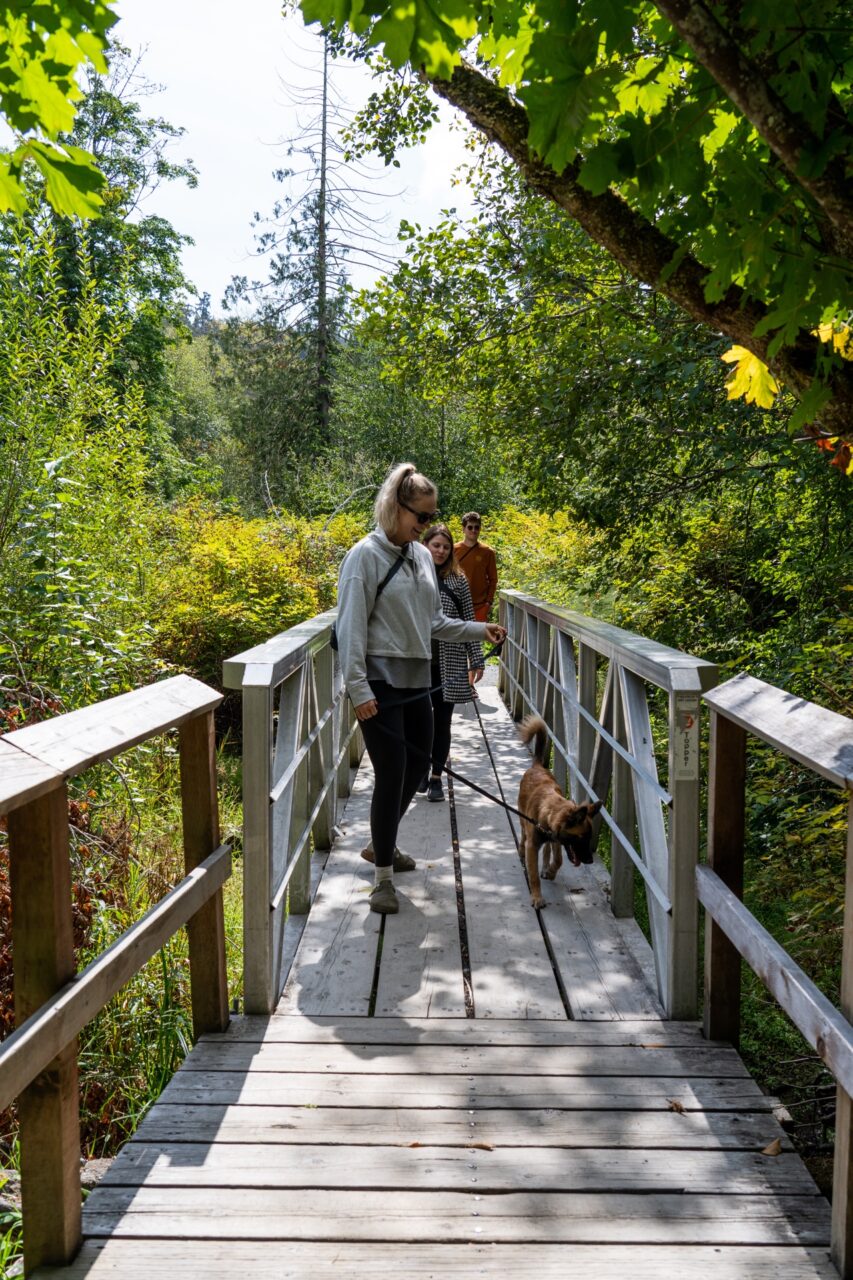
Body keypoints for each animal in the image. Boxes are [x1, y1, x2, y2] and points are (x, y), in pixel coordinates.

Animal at [514, 716, 601, 906]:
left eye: (589, 838)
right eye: (581, 838)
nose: (590, 861)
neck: (549, 811)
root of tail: (537, 766)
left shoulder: (557, 839)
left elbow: (559, 859)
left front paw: (551, 871)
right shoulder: (534, 845)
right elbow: (533, 875)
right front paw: (537, 897)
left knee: (547, 850)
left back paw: (546, 866)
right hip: (522, 820)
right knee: (523, 835)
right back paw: (521, 851)